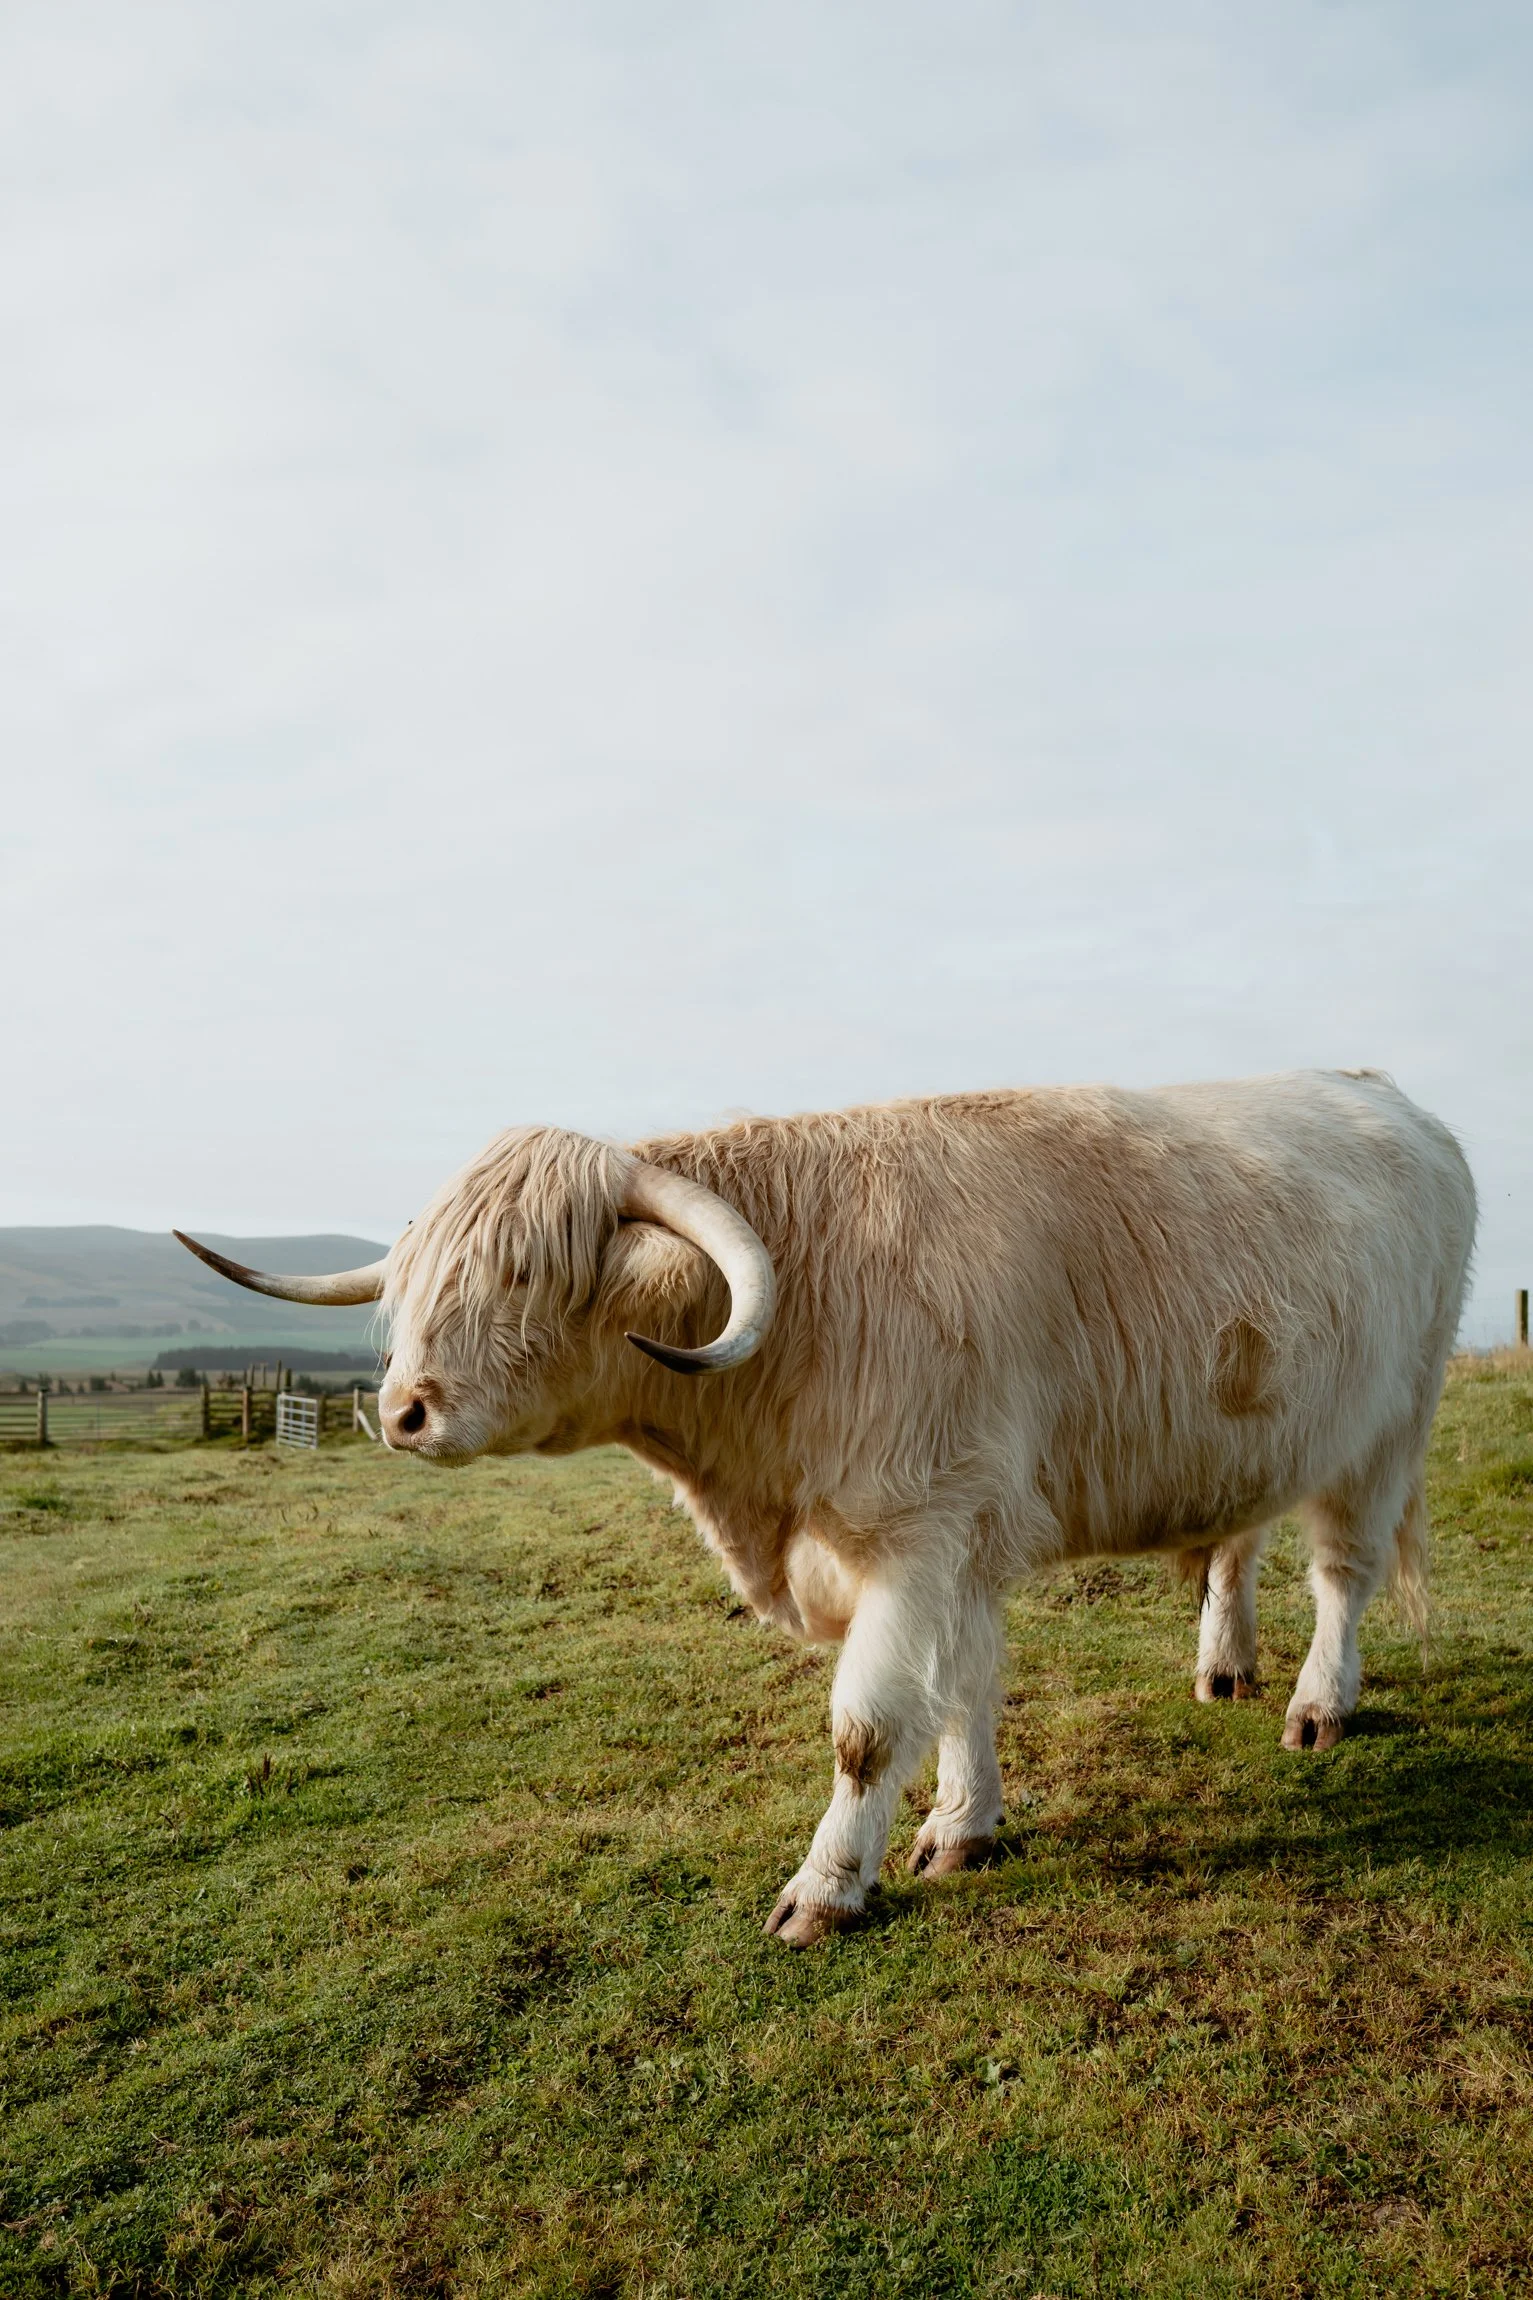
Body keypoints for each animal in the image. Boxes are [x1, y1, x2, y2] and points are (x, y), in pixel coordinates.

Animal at [177, 1069, 1476, 1946]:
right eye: (412, 1278)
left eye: (529, 1273)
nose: (403, 1410)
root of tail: (1387, 1094)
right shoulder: (958, 1539)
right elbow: (964, 1694)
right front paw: (965, 1824)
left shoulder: (921, 1533)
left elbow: (869, 1726)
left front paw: (830, 1884)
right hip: (1260, 1429)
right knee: (1235, 1546)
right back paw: (1224, 1664)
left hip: (1389, 1422)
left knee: (1344, 1571)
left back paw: (1315, 1704)